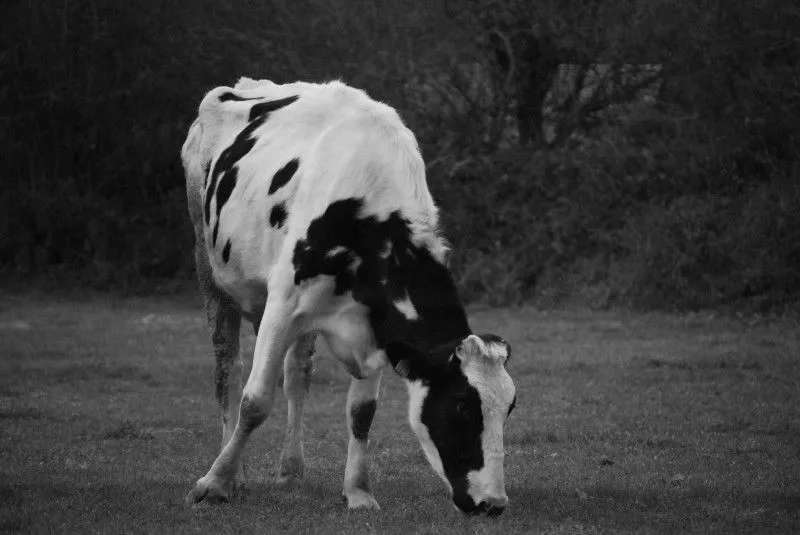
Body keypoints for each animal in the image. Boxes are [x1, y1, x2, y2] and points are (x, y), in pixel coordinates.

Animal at [181, 77, 517, 515]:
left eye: (509, 407)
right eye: (462, 405)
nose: (493, 503)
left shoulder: (375, 324)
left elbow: (362, 413)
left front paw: (358, 492)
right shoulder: (282, 303)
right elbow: (254, 402)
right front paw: (214, 483)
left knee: (297, 375)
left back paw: (291, 468)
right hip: (210, 269)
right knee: (228, 371)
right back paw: (232, 471)